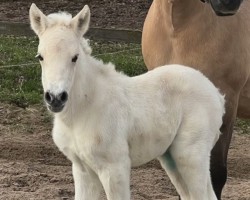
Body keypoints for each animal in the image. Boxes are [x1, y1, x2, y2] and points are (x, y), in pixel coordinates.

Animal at [29, 3, 225, 200]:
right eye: (40, 57)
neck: (85, 108)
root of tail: (216, 94)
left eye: (74, 57)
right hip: (171, 158)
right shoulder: (82, 169)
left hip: (191, 155)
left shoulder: (115, 167)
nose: (55, 98)